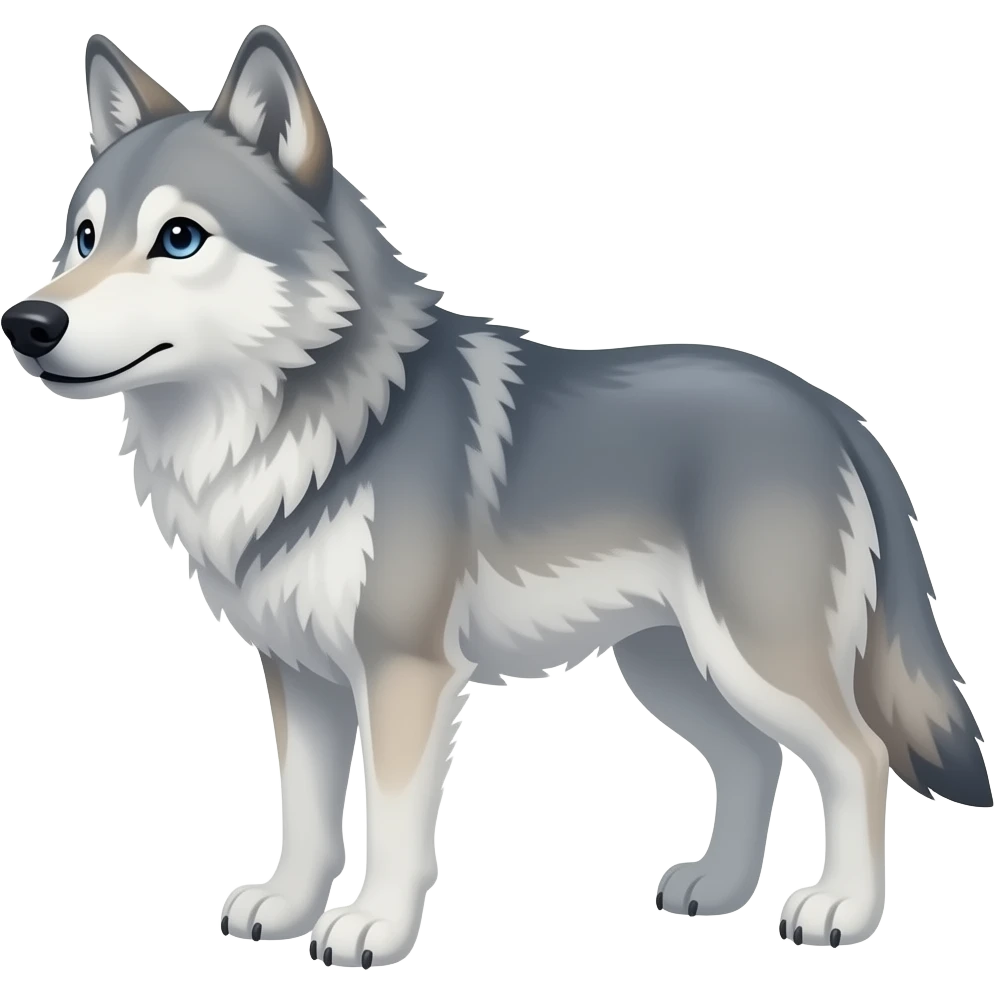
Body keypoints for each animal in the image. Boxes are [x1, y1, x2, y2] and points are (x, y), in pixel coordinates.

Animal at [3, 24, 990, 968]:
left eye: (178, 237)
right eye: (84, 237)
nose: (27, 322)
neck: (311, 435)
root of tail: (829, 408)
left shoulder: (404, 671)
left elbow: (393, 823)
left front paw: (373, 928)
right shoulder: (300, 676)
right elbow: (308, 817)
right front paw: (285, 910)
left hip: (754, 658)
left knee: (857, 756)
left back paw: (842, 911)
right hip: (672, 666)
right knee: (755, 757)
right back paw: (716, 887)